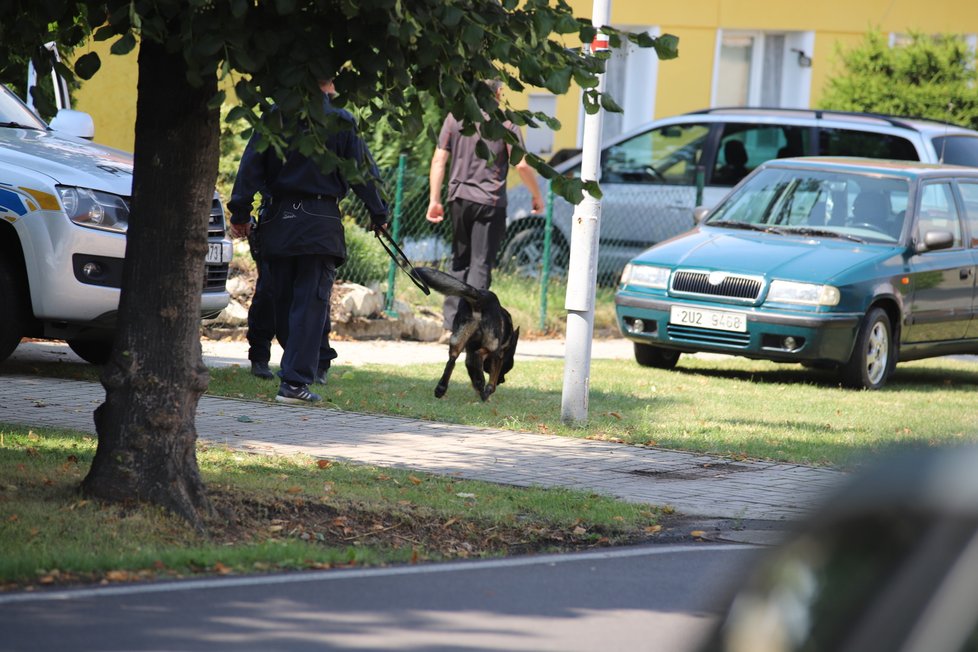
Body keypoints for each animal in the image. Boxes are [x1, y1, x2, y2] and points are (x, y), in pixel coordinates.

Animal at [412, 266, 520, 400]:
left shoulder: (469, 355)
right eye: (508, 367)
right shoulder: (499, 356)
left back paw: (441, 388)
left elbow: (471, 368)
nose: (503, 381)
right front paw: (486, 392)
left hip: (457, 341)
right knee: (478, 354)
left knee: (452, 361)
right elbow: (492, 382)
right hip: (493, 345)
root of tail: (481, 298)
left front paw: (480, 389)